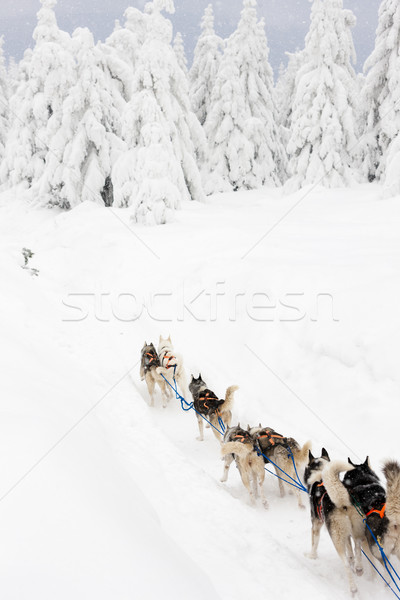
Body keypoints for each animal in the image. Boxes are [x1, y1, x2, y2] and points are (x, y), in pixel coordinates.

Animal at [304, 450, 364, 596]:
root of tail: (343, 500)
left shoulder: (316, 524)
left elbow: (314, 544)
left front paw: (312, 557)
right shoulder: (347, 535)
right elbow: (351, 551)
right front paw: (352, 559)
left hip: (336, 538)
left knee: (346, 564)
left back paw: (353, 588)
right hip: (357, 530)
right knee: (357, 549)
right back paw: (358, 568)